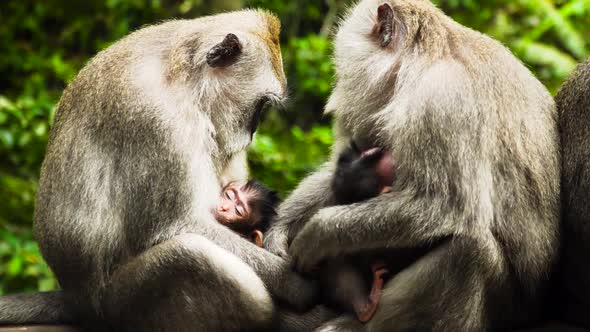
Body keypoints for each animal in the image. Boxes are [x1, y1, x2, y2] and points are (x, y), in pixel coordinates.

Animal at [2, 9, 326, 332]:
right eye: (260, 106)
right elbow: (178, 226)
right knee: (192, 254)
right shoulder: (158, 119)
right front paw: (296, 284)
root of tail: (75, 300)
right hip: (120, 305)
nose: (252, 132)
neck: (186, 77)